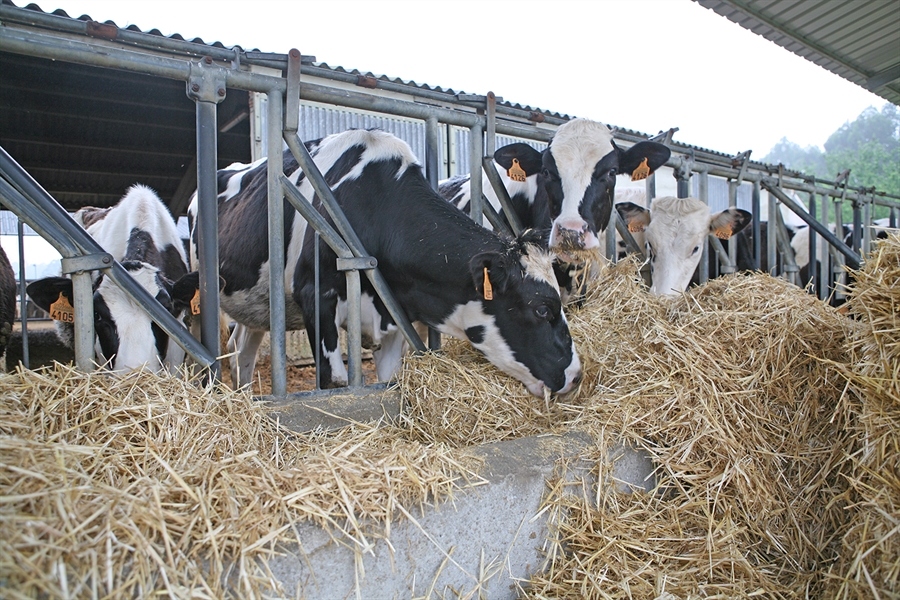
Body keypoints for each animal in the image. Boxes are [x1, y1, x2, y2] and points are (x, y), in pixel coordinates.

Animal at [186, 129, 580, 396]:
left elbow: (389, 380)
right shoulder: (316, 297)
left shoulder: (392, 316)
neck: (373, 203)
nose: (576, 376)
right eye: (542, 309)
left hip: (257, 303)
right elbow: (335, 381)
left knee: (242, 351)